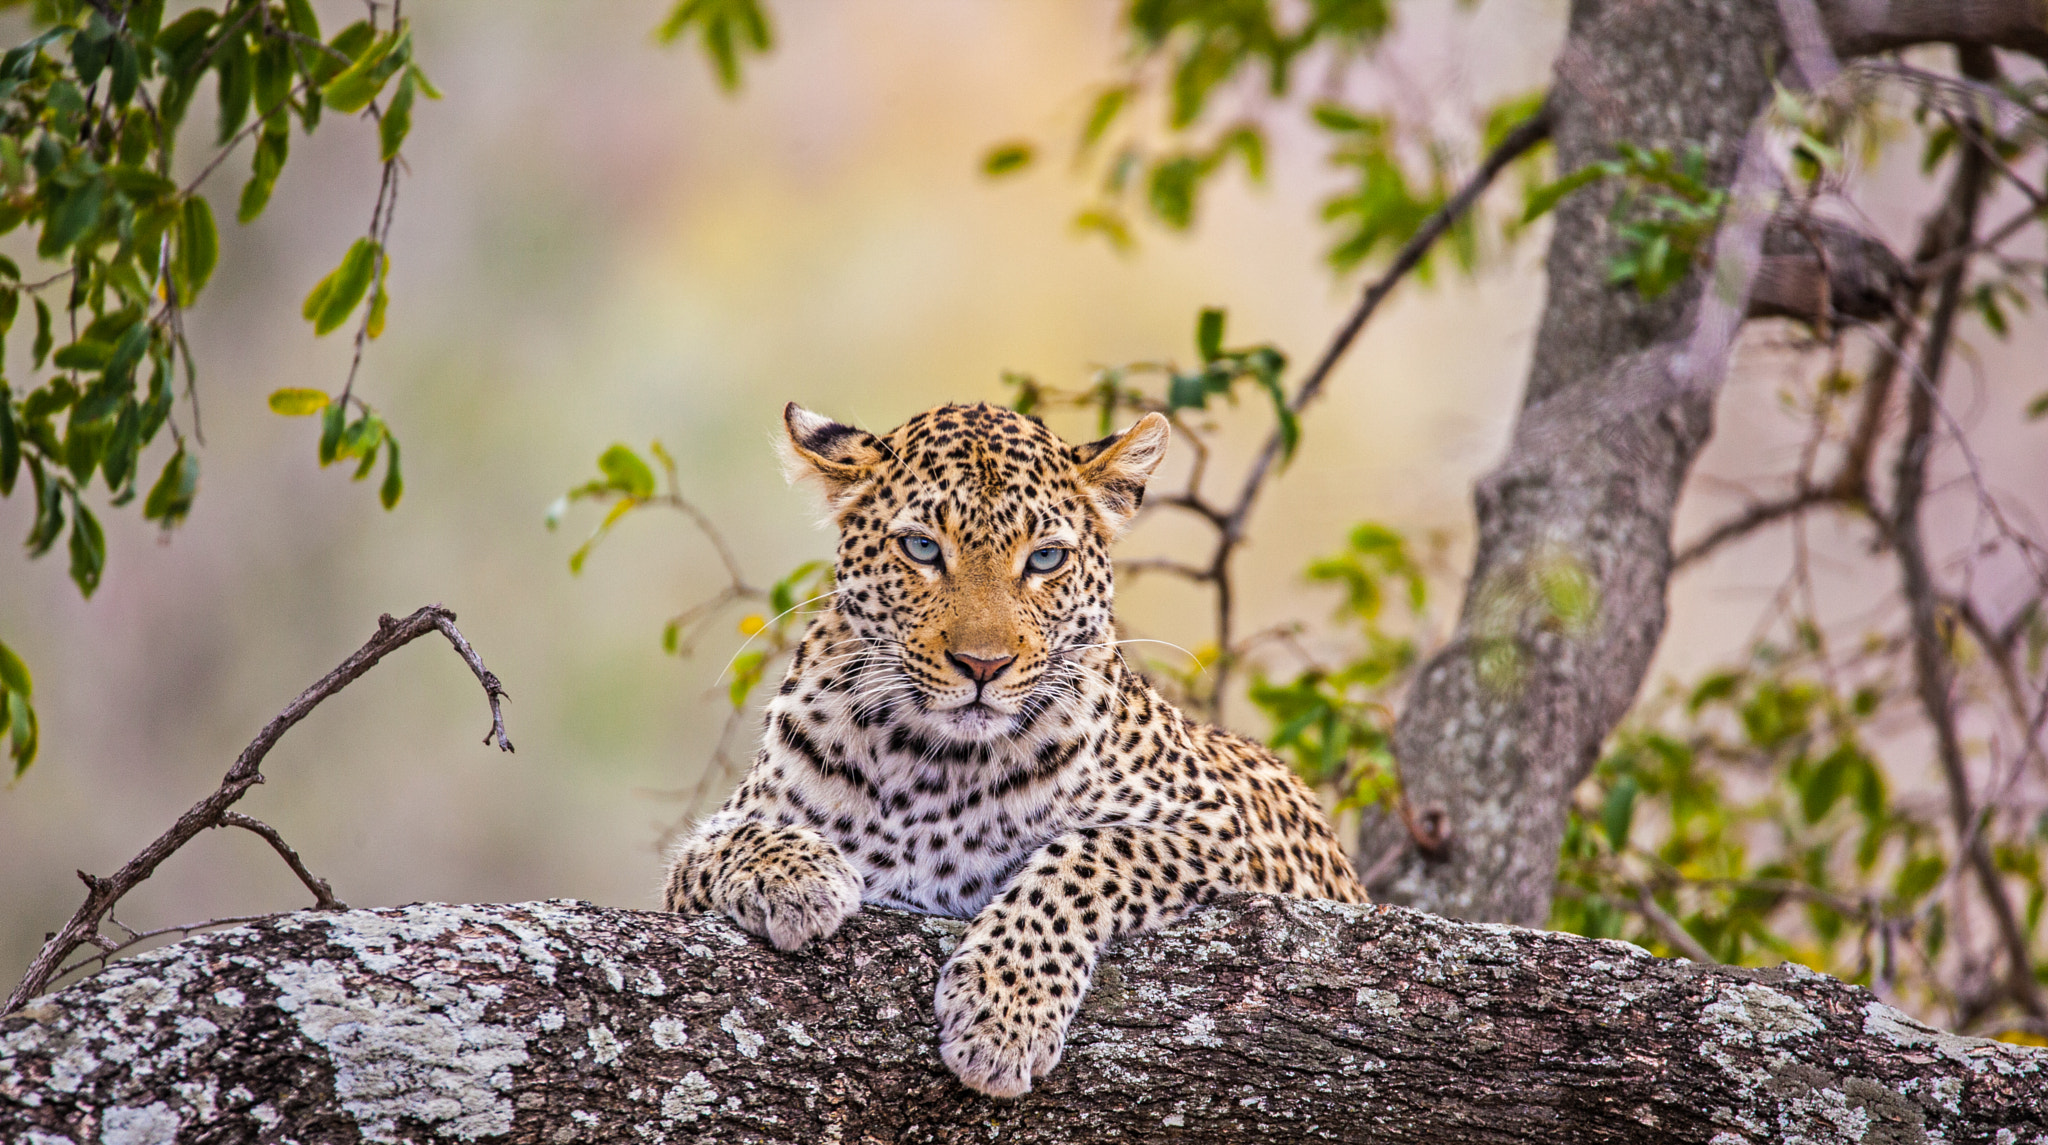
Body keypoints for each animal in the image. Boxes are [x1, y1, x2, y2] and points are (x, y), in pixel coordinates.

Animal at [662, 400, 1367, 1098]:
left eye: (1045, 559)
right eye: (922, 547)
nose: (983, 664)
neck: (932, 765)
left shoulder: (1221, 827)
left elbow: (1088, 856)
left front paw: (1002, 1017)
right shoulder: (702, 860)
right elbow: (713, 843)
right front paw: (798, 877)